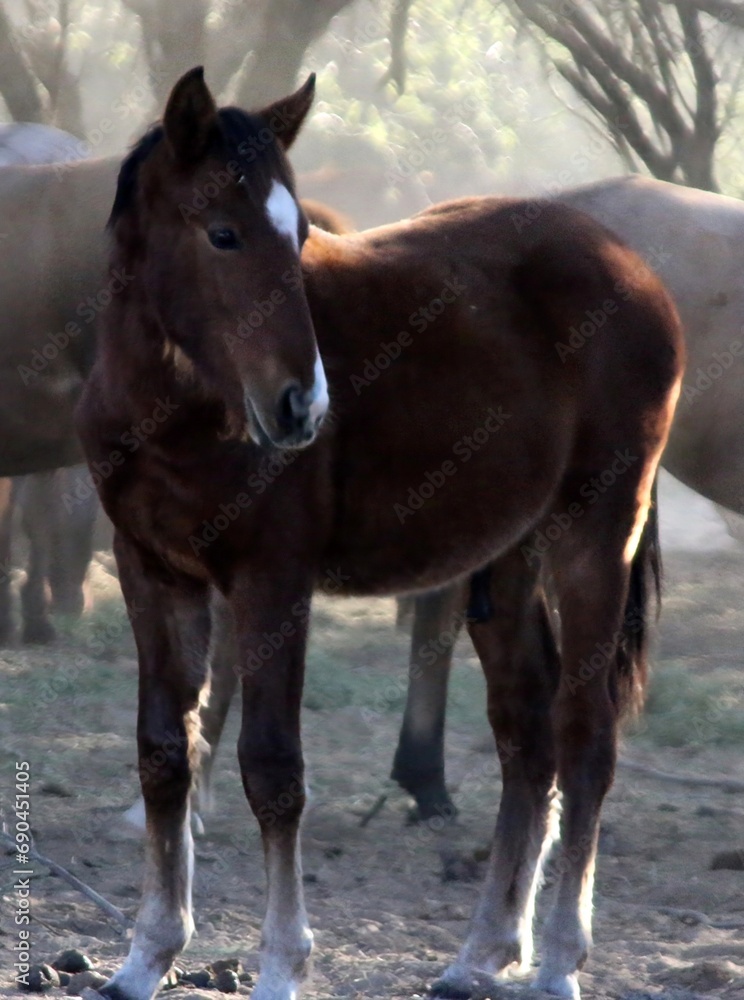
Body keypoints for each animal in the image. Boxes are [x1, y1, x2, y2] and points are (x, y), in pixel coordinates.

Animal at [76, 67, 683, 1000]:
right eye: (223, 233)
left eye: (298, 238)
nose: (302, 406)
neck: (176, 409)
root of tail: (631, 266)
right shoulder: (151, 571)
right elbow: (162, 754)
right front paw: (147, 957)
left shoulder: (273, 578)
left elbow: (273, 769)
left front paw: (282, 964)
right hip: (507, 556)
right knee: (527, 732)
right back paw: (481, 952)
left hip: (595, 532)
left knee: (586, 736)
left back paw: (556, 961)